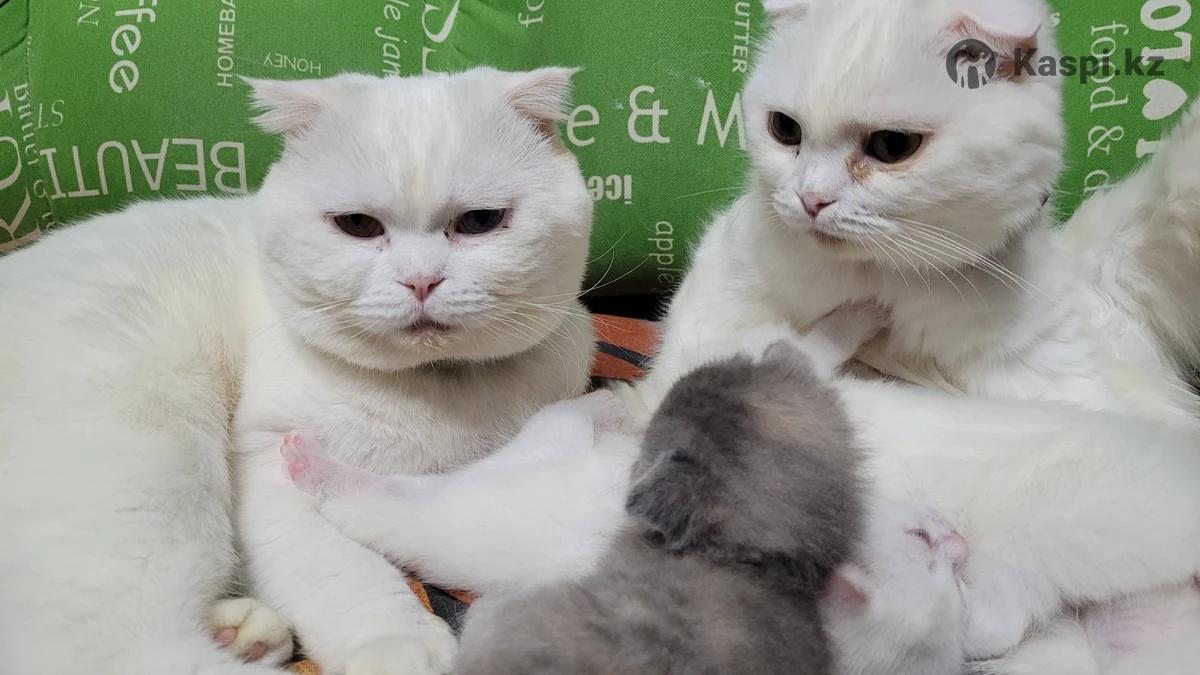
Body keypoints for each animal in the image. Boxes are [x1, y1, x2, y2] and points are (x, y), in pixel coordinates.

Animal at [0, 67, 597, 675]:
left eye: (480, 221)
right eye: (357, 225)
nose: (421, 280)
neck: (437, 390)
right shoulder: (267, 461)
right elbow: (344, 567)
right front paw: (398, 643)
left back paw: (244, 633)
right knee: (117, 649)